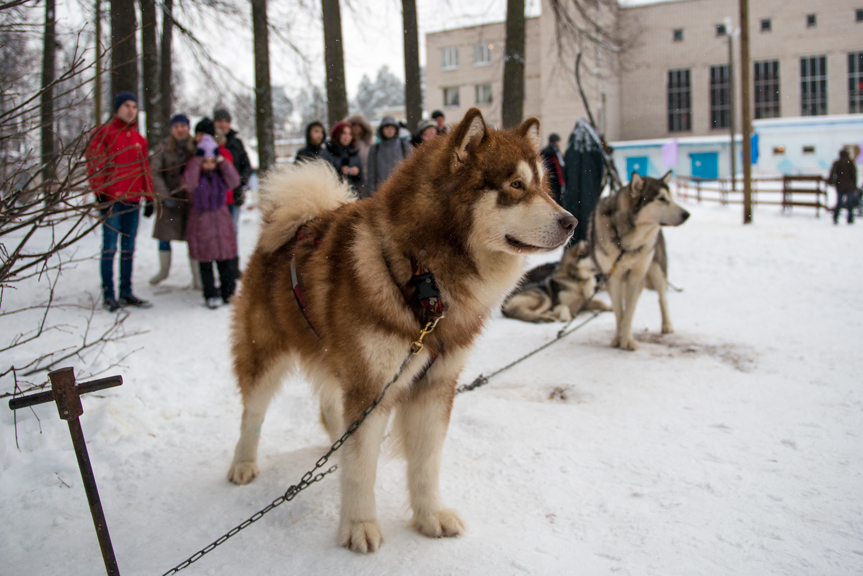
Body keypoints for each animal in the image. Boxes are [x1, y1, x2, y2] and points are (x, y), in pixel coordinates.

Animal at [226, 108, 576, 552]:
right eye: (516, 185)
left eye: (544, 186)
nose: (572, 221)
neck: (422, 277)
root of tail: (294, 221)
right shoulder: (372, 386)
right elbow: (362, 466)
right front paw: (359, 524)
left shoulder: (435, 386)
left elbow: (425, 463)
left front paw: (429, 516)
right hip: (266, 353)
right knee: (252, 414)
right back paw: (243, 463)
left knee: (331, 412)